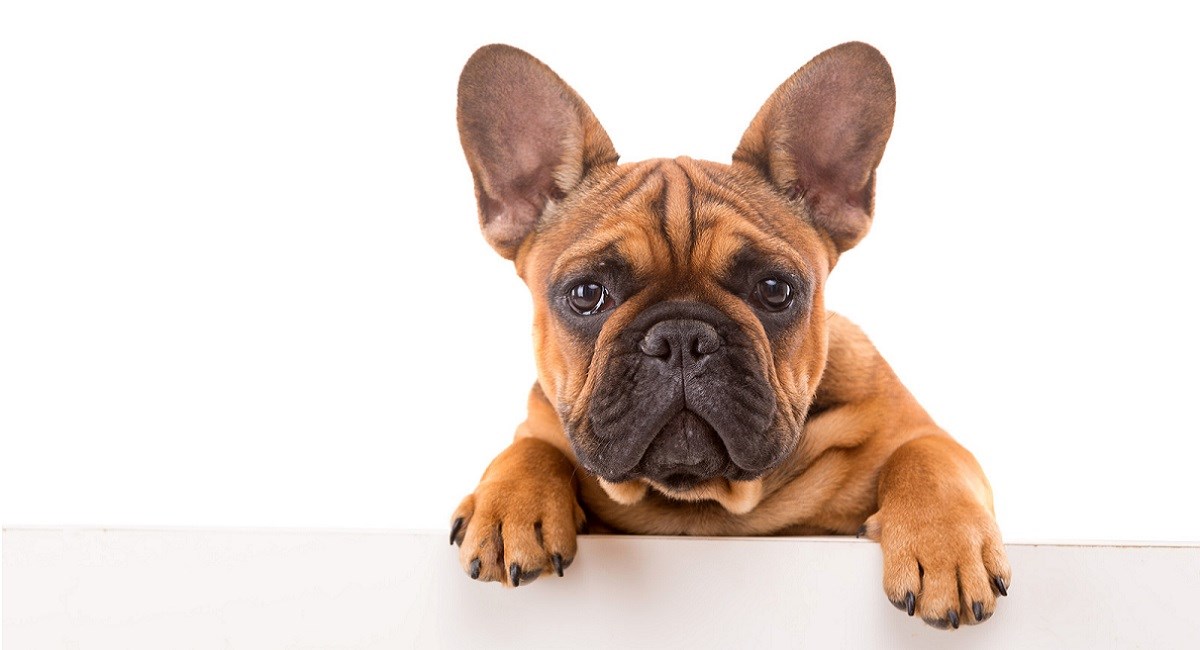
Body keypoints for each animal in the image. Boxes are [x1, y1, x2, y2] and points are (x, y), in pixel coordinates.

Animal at [446, 41, 1008, 633]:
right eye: (586, 293)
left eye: (775, 289)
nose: (682, 338)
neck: (704, 503)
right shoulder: (540, 422)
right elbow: (529, 447)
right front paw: (507, 507)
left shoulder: (920, 432)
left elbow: (926, 456)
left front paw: (944, 548)